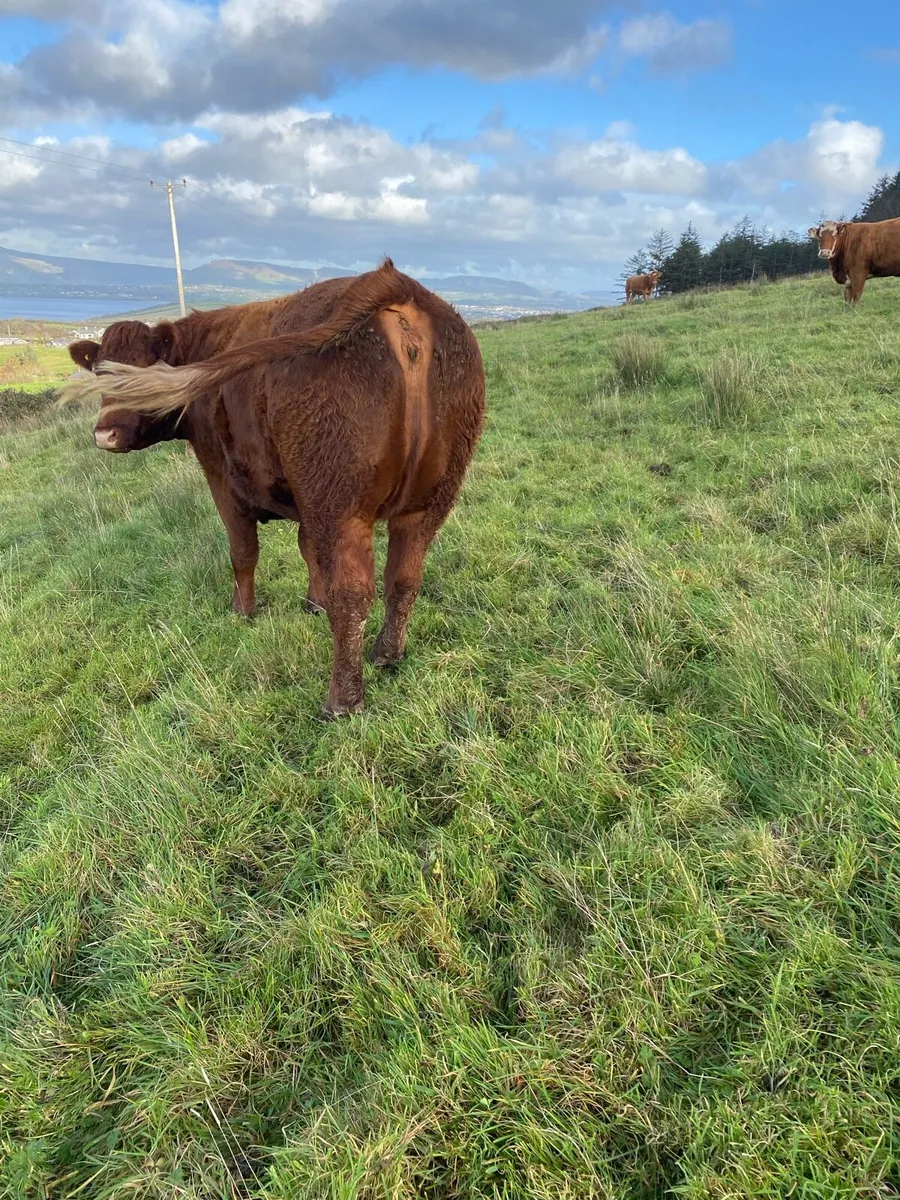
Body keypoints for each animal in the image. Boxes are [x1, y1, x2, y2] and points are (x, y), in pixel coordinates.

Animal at [63, 260, 485, 717]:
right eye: (100, 372)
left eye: (140, 371)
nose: (105, 435)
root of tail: (396, 284)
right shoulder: (302, 495)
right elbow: (308, 550)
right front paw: (312, 603)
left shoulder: (222, 476)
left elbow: (243, 552)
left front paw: (242, 612)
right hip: (427, 501)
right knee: (403, 579)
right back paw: (387, 654)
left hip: (340, 502)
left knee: (353, 593)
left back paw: (341, 701)